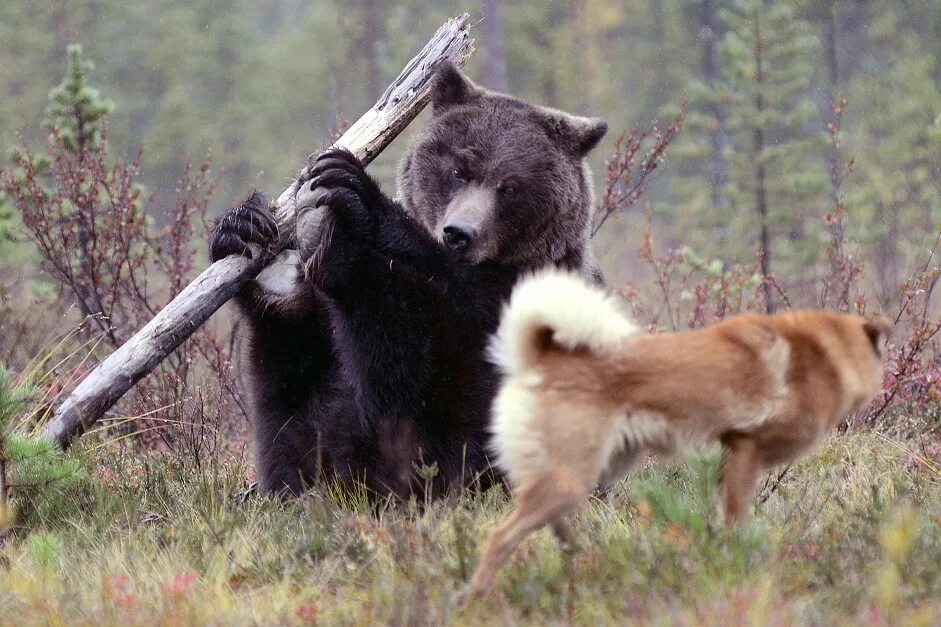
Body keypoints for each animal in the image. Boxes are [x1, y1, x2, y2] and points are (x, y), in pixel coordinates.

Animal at [210, 60, 608, 500]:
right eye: (459, 169)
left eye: (510, 186)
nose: (459, 232)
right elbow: (300, 360)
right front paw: (245, 227)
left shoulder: (509, 309)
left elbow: (409, 381)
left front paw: (356, 200)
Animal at [466, 270, 892, 600]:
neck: (824, 353)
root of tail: (540, 356)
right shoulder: (746, 449)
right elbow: (736, 521)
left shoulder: (730, 458)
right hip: (570, 480)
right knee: (499, 538)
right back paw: (476, 599)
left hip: (586, 476)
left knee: (551, 531)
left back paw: (582, 566)